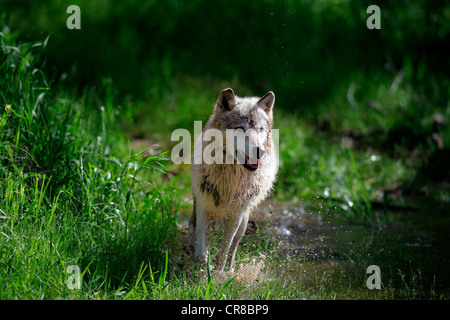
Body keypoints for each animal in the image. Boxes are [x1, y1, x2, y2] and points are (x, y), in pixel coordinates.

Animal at [184, 88, 278, 272]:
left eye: (260, 129)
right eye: (240, 128)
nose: (259, 151)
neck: (230, 177)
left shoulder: (236, 214)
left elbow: (224, 253)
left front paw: (219, 273)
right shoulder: (203, 205)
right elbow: (200, 253)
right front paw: (204, 265)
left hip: (244, 221)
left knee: (234, 247)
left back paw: (231, 269)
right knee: (192, 226)